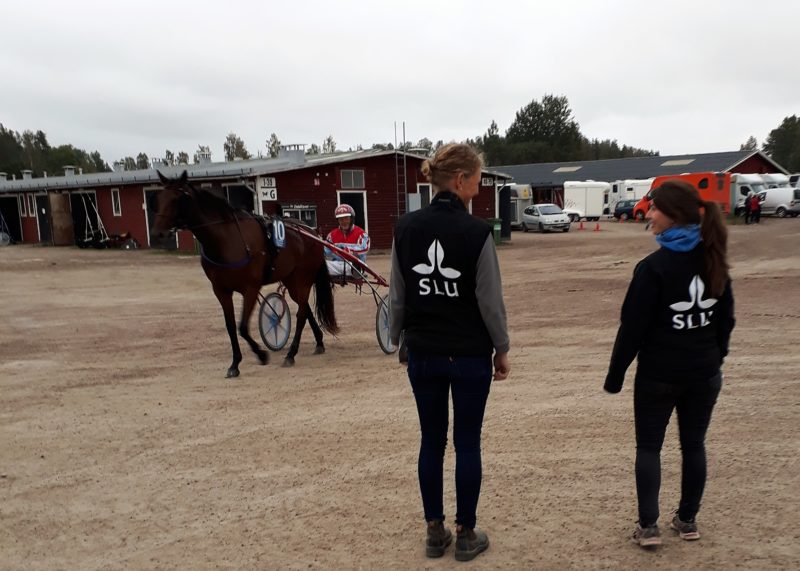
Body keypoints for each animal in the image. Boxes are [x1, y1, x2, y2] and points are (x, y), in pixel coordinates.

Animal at [151, 172, 338, 378]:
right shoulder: (221, 290)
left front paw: (261, 354)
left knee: (301, 314)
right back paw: (318, 342)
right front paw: (235, 364)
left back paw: (291, 354)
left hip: (303, 277)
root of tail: (312, 232)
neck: (226, 239)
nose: (158, 233)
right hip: (291, 280)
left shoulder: (251, 288)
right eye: (159, 197)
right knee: (305, 309)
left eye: (178, 198)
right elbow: (231, 327)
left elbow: (242, 327)